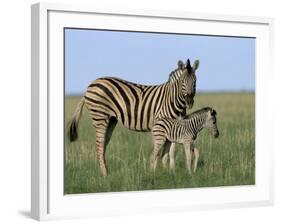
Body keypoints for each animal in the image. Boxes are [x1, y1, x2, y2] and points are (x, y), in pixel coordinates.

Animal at [68, 58, 198, 176]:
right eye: (182, 81)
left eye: (195, 81)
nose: (189, 101)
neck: (172, 98)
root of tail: (90, 85)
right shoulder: (162, 124)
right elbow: (162, 150)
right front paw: (156, 172)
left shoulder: (176, 125)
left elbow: (171, 150)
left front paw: (170, 171)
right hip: (99, 115)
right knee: (99, 144)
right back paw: (104, 174)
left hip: (111, 119)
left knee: (104, 143)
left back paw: (106, 171)